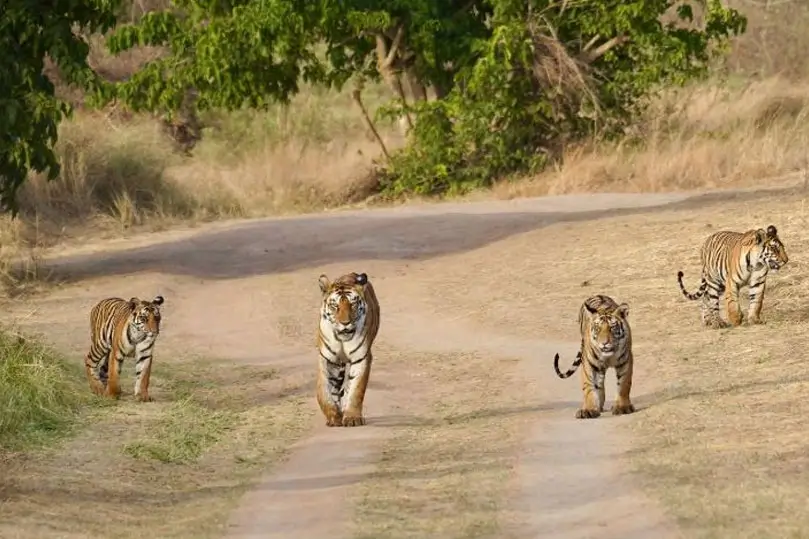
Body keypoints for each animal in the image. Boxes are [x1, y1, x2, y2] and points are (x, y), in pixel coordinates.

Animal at [316, 271, 381, 427]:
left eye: (353, 304)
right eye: (335, 306)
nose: (345, 323)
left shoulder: (361, 358)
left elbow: (356, 389)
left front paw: (352, 417)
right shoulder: (327, 359)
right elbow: (324, 390)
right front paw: (333, 416)